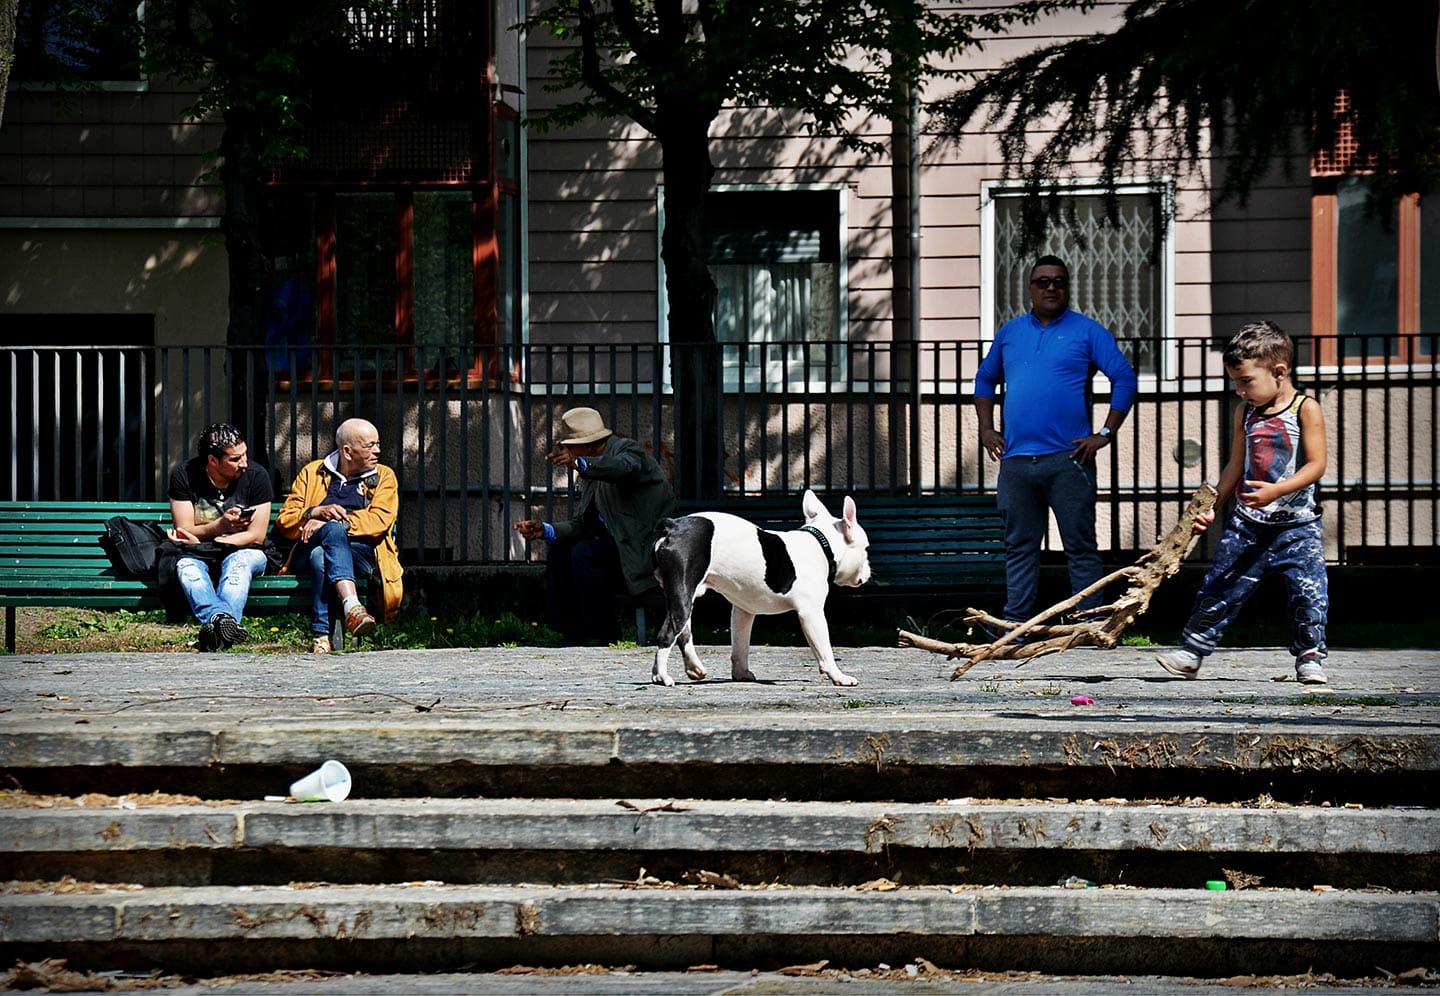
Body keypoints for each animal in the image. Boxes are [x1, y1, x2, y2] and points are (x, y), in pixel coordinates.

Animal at [650, 489, 864, 685]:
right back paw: (662, 676)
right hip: (682, 593)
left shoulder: (743, 611)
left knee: (684, 632)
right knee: (669, 633)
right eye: (866, 549)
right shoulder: (811, 613)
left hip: (681, 595)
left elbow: (740, 645)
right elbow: (824, 649)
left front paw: (741, 674)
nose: (868, 568)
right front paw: (838, 676)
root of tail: (672, 525)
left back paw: (693, 668)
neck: (821, 544)